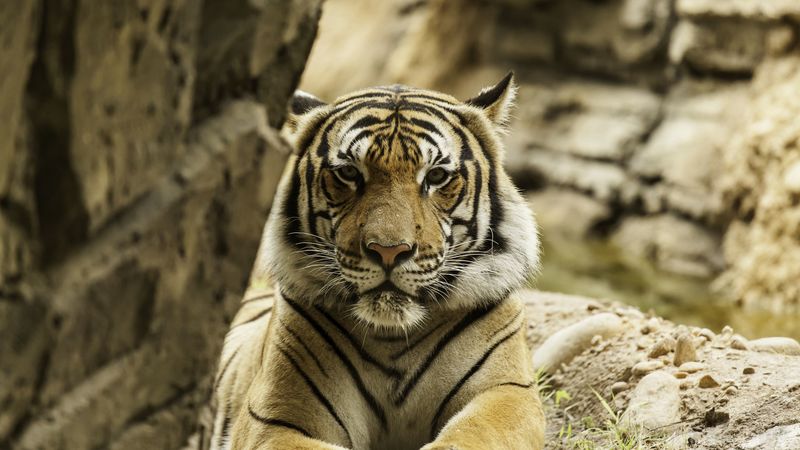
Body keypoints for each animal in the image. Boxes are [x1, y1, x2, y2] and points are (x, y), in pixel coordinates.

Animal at [209, 73, 545, 450]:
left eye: (436, 176)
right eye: (348, 173)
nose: (389, 251)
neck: (393, 338)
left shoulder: (506, 392)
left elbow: (470, 436)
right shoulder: (274, 421)